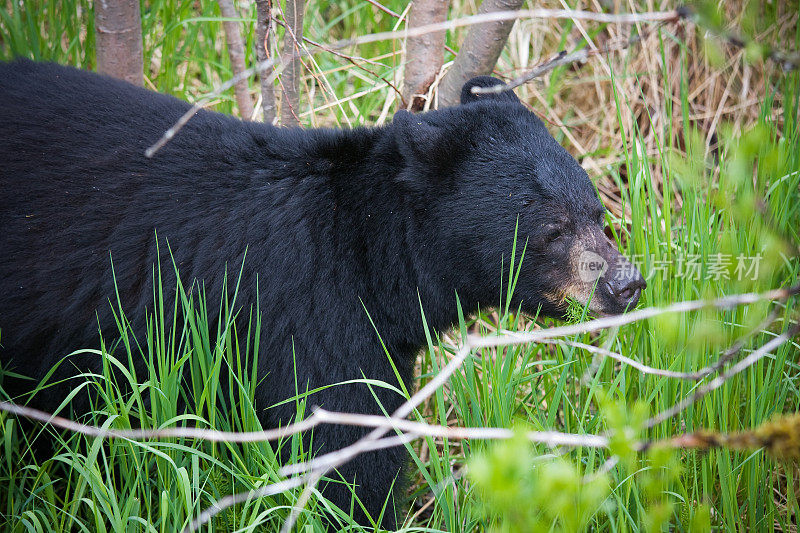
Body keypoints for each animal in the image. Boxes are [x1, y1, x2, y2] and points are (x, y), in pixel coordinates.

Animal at [0, 59, 640, 528]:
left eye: (597, 213)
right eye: (554, 229)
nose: (626, 283)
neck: (374, 255)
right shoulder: (309, 314)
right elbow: (344, 452)